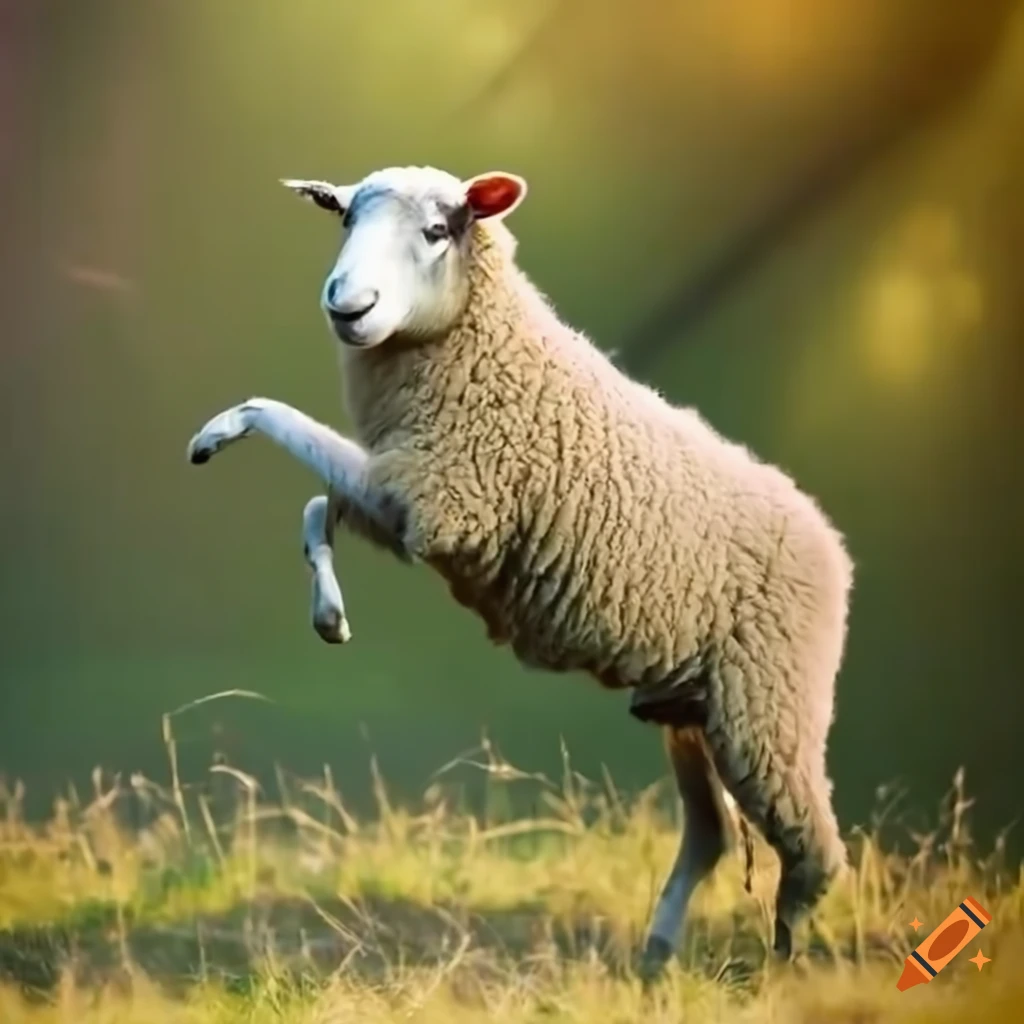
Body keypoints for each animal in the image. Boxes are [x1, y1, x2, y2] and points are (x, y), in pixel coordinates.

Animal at [186, 164, 853, 979]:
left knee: (812, 848)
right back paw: (655, 956)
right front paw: (329, 617)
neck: (474, 352)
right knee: (710, 834)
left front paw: (215, 432)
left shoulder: (445, 495)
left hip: (768, 706)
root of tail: (830, 541)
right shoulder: (412, 498)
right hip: (691, 709)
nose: (349, 305)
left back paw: (784, 958)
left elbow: (277, 420)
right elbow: (318, 509)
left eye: (438, 231)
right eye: (344, 219)